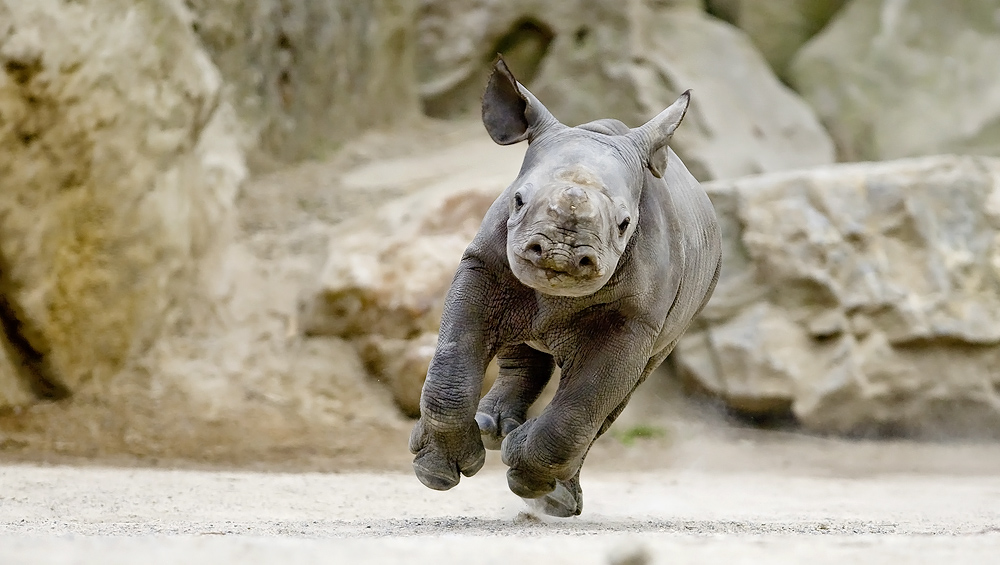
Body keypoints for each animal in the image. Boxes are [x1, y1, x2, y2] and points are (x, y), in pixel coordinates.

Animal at [410, 57, 724, 516]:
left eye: (624, 223)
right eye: (518, 200)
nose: (560, 255)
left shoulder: (635, 321)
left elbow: (584, 405)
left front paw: (529, 480)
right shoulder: (483, 266)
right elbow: (452, 360)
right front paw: (436, 472)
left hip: (698, 294)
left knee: (620, 395)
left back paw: (553, 495)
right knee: (524, 340)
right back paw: (492, 428)